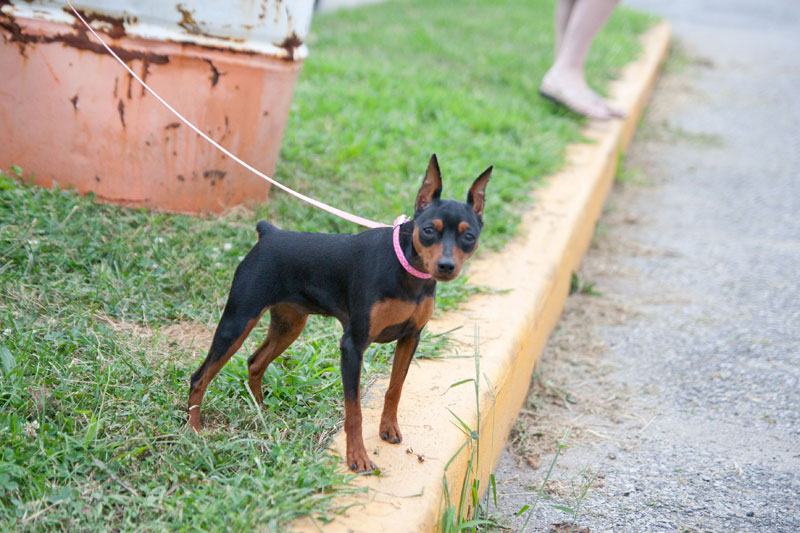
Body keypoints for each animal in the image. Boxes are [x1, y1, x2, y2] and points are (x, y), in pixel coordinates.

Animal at [188, 154, 490, 470]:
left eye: (469, 236)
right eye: (429, 230)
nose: (446, 266)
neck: (406, 267)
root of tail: (269, 233)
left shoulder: (410, 338)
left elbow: (395, 388)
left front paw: (388, 428)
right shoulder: (352, 346)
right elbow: (354, 409)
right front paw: (357, 456)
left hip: (289, 325)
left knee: (255, 362)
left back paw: (261, 412)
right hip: (238, 321)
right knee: (200, 377)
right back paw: (193, 431)